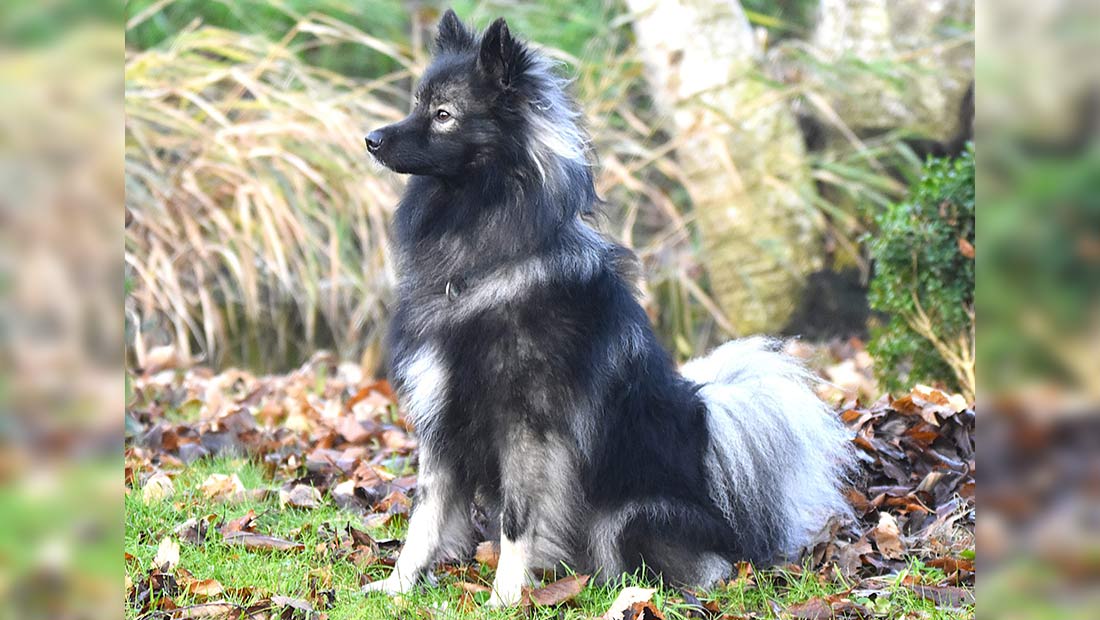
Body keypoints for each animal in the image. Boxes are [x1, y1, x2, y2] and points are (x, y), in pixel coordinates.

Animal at [362, 9, 853, 607]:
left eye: (443, 116)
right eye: (416, 104)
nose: (371, 139)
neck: (484, 258)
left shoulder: (528, 430)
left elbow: (517, 521)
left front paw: (504, 598)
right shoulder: (442, 418)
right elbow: (424, 515)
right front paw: (395, 587)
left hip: (626, 516)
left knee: (704, 568)